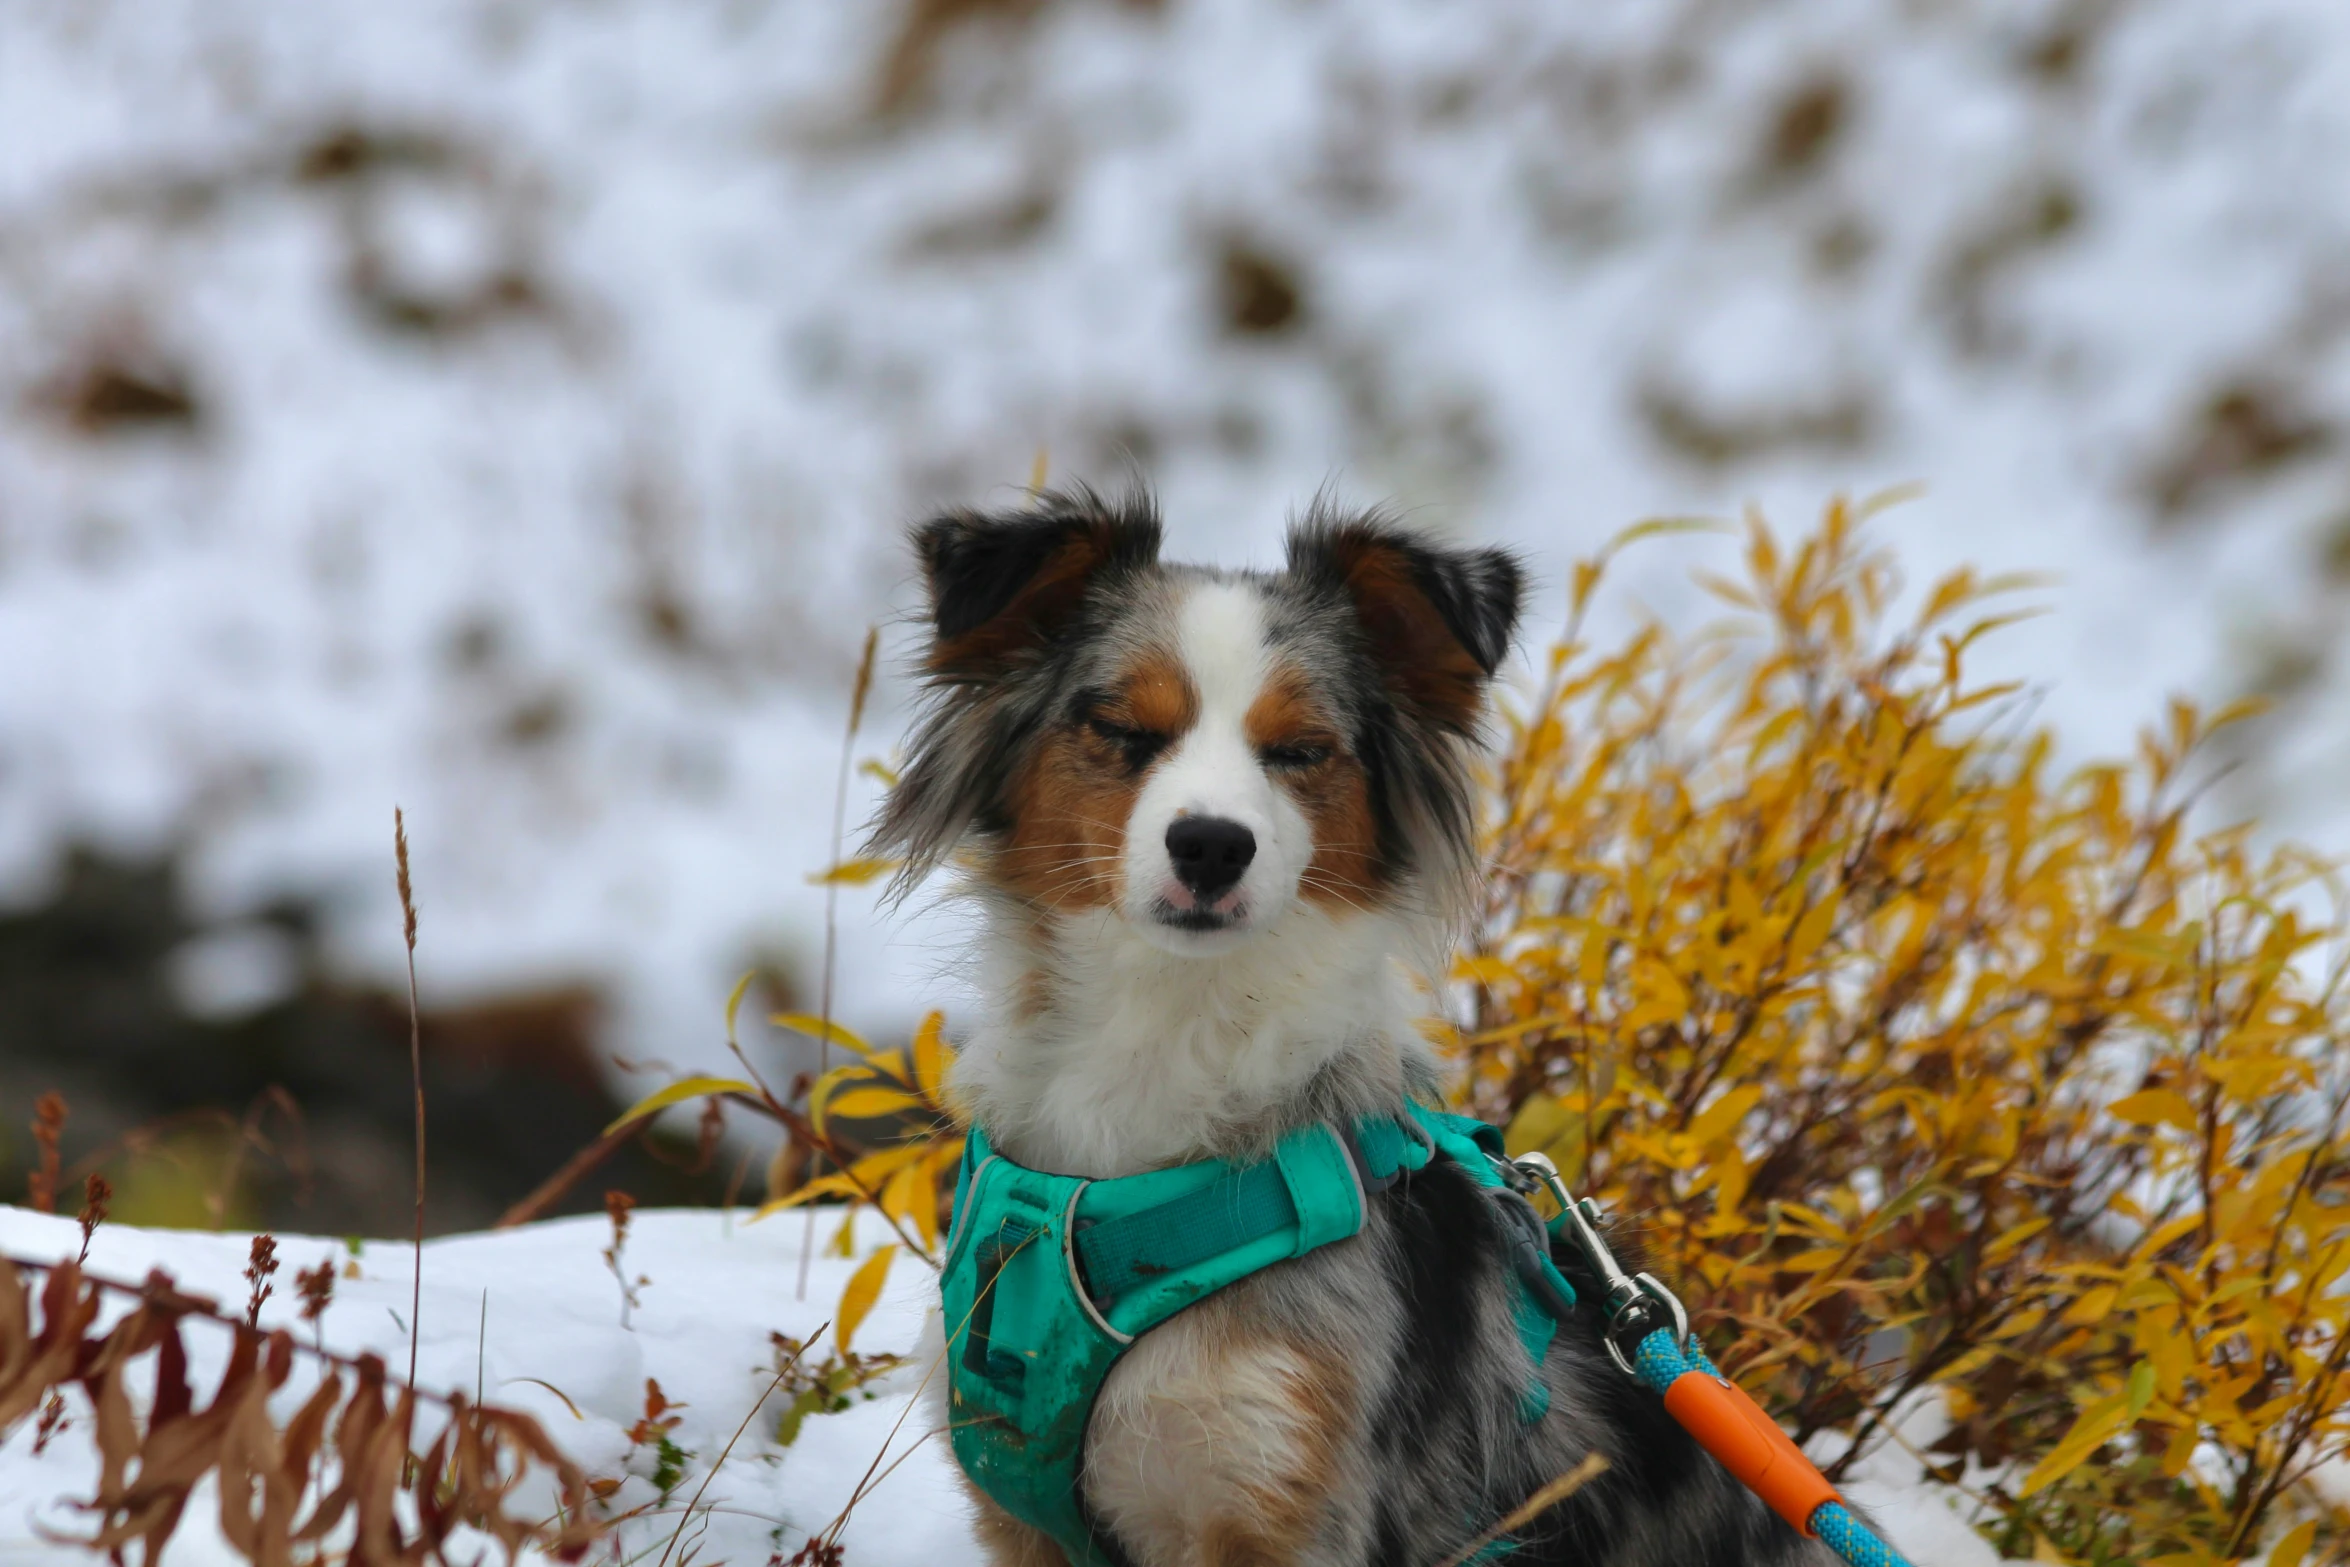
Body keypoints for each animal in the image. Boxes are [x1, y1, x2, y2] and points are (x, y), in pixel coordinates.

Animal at [874, 483, 1842, 1559]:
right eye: (1123, 730)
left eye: (1300, 751)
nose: (1211, 845)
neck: (1164, 1032)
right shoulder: (1022, 1507)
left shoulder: (1284, 1491)